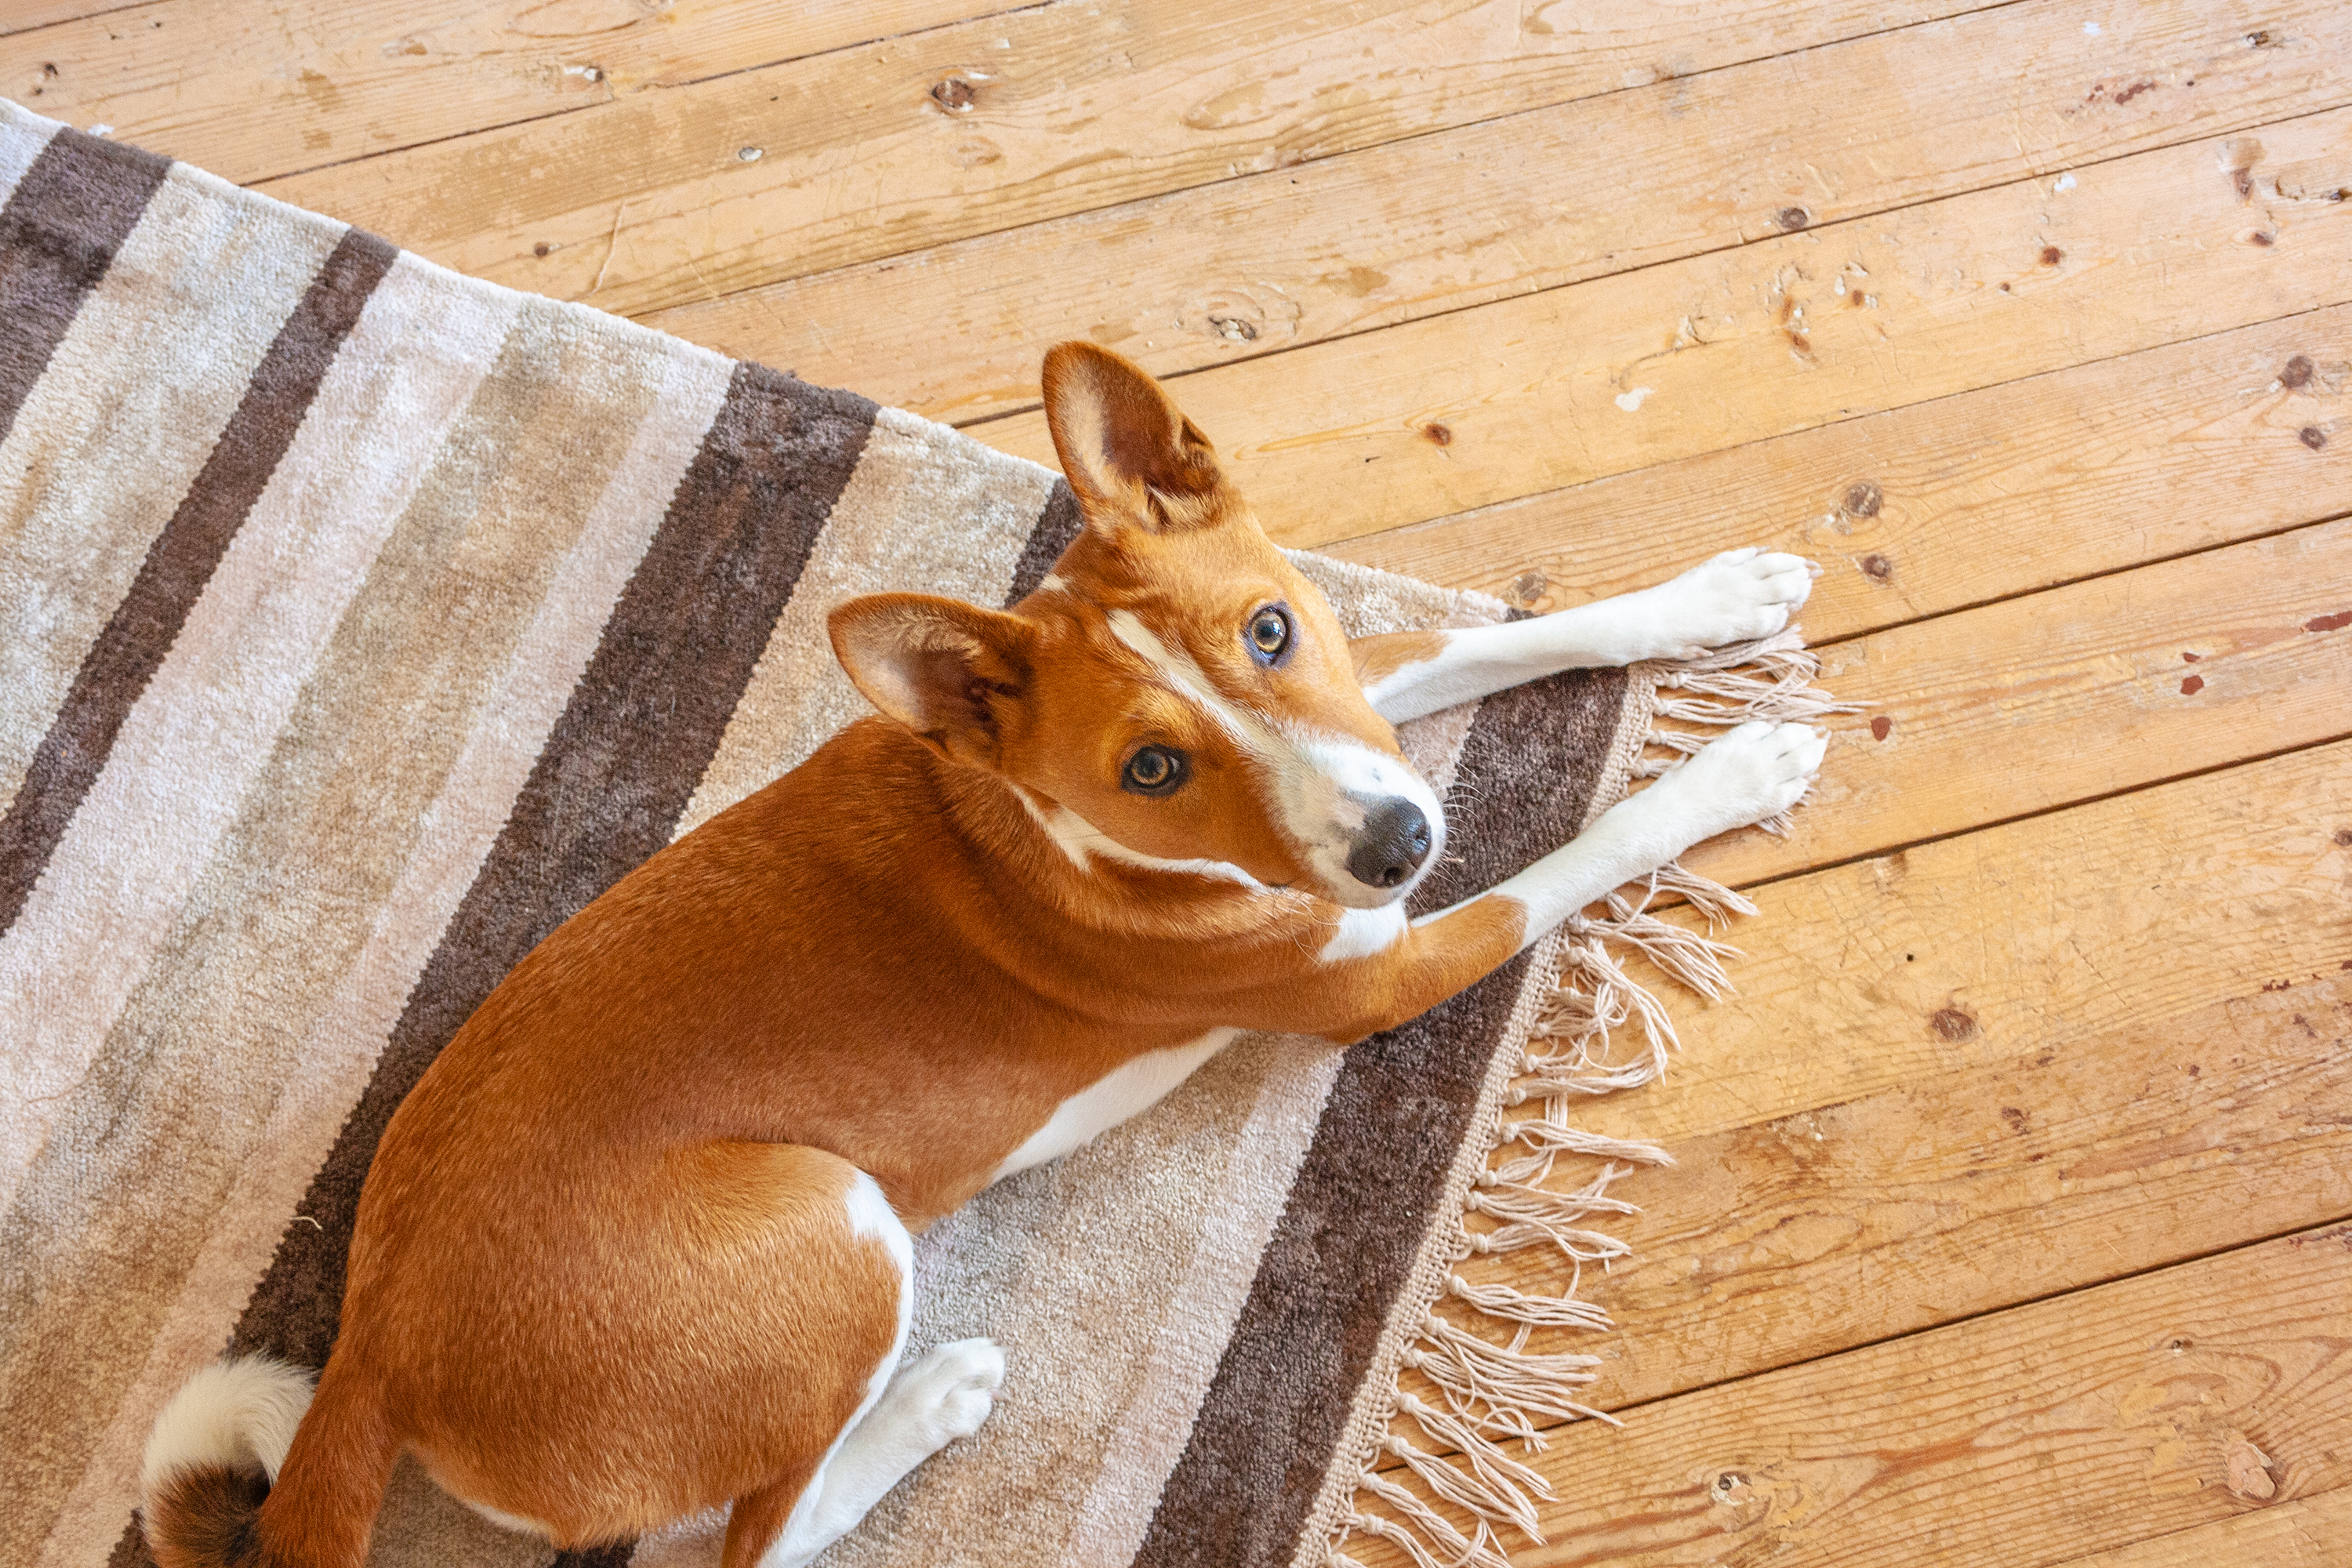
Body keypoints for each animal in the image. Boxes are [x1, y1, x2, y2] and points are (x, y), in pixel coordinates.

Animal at [142, 343, 1835, 1568]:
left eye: (1272, 630)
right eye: (1150, 769)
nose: (1399, 842)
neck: (1056, 829)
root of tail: (373, 1356)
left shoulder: (1366, 712)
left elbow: (1502, 638)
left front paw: (1709, 600)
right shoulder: (1378, 970)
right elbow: (1581, 858)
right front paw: (1732, 771)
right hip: (835, 1226)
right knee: (755, 1544)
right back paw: (934, 1403)